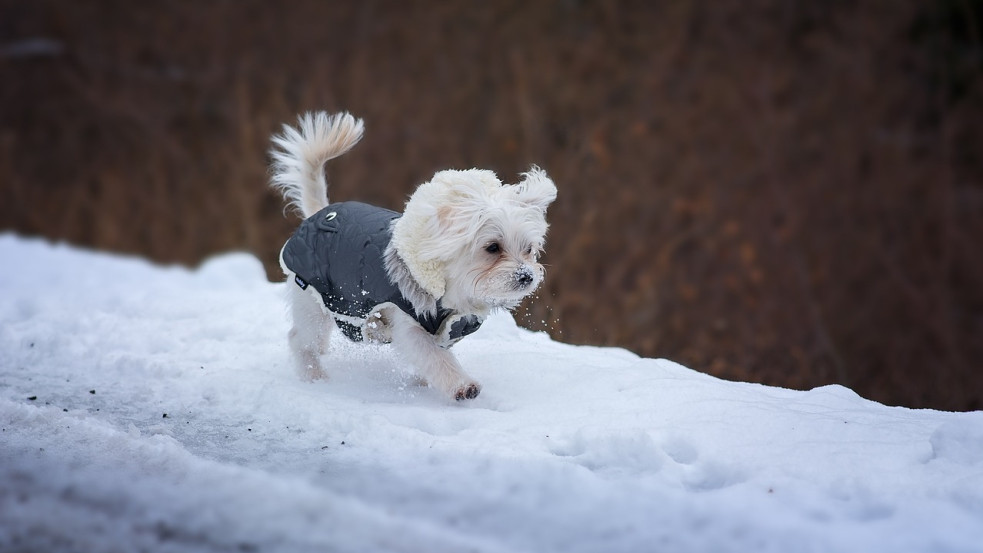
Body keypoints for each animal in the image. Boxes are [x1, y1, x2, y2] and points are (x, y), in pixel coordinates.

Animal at [272, 110, 556, 398]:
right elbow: (435, 357)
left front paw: (424, 383)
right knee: (300, 340)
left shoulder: (447, 330)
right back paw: (314, 376)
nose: (526, 276)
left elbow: (432, 359)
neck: (452, 291)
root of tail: (319, 213)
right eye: (493, 247)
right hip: (313, 299)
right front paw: (462, 385)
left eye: (529, 249)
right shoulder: (410, 324)